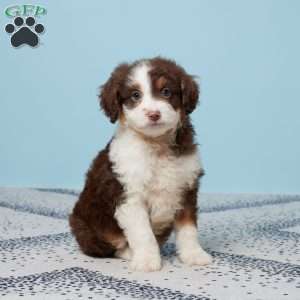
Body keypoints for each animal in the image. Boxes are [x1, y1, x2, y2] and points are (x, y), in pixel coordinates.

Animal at [69, 56, 212, 272]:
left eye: (166, 92)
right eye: (135, 95)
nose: (154, 114)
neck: (156, 145)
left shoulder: (186, 188)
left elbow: (188, 229)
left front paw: (194, 255)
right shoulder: (129, 195)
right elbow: (143, 233)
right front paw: (147, 260)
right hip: (87, 228)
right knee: (112, 246)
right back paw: (129, 253)